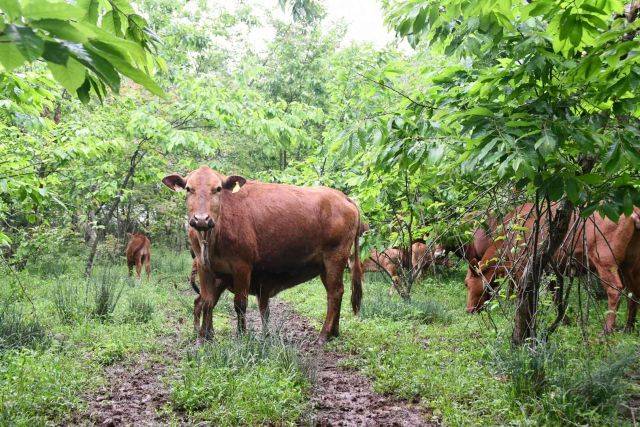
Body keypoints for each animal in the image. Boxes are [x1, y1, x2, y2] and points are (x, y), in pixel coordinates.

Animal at [162, 167, 362, 344]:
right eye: (189, 189)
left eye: (218, 189)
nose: (201, 219)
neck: (213, 236)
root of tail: (343, 197)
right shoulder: (205, 267)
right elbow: (207, 301)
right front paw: (204, 339)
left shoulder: (242, 266)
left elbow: (240, 303)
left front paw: (241, 337)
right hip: (324, 266)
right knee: (335, 292)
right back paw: (334, 332)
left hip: (335, 257)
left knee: (335, 293)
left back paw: (323, 335)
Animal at [464, 205, 640, 334]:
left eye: (467, 283)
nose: (469, 309)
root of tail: (634, 212)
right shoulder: (550, 269)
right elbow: (556, 296)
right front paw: (565, 320)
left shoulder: (523, 266)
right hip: (629, 264)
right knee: (634, 292)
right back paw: (628, 327)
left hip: (605, 260)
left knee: (615, 290)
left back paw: (608, 330)